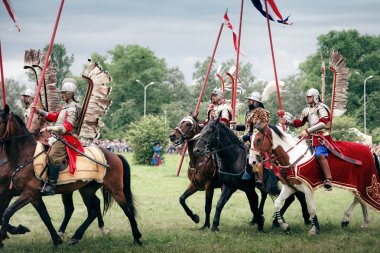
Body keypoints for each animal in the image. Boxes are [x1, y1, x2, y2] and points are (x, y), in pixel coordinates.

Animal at [0, 105, 141, 249]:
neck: (25, 156)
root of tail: (114, 155)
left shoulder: (28, 193)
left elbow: (7, 212)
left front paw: (3, 238)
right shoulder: (33, 196)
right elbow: (45, 217)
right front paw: (56, 240)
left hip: (115, 189)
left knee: (127, 209)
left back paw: (137, 238)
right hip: (86, 190)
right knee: (92, 210)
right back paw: (76, 236)